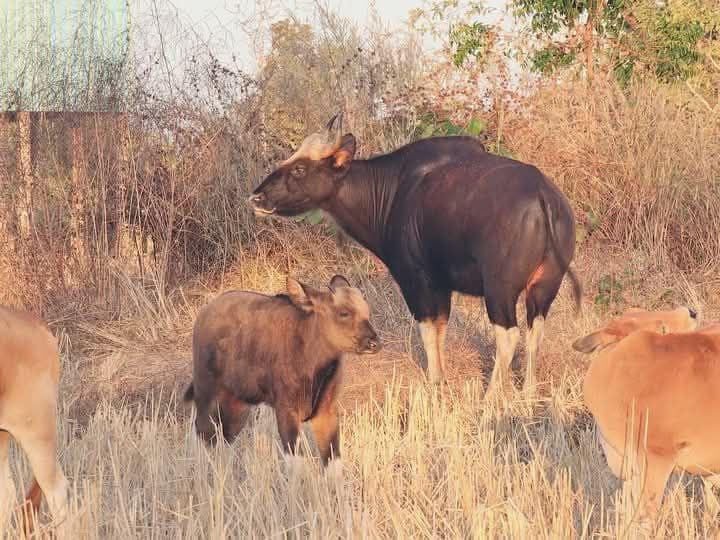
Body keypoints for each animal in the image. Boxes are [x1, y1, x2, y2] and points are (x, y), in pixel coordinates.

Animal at [183, 276, 380, 466]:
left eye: (366, 310)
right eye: (344, 313)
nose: (375, 343)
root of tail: (205, 312)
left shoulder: (326, 413)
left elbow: (334, 464)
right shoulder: (286, 410)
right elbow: (296, 465)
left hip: (237, 406)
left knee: (223, 439)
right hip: (206, 396)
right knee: (201, 434)